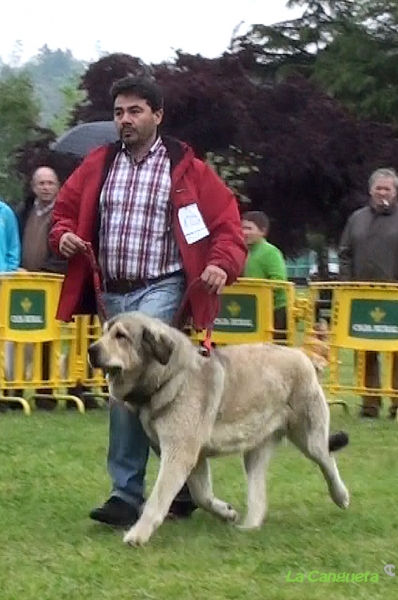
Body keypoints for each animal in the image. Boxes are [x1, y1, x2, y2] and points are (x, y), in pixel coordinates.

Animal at [88, 316, 348, 548]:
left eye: (121, 336)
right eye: (104, 332)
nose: (91, 349)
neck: (171, 376)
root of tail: (301, 355)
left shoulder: (178, 455)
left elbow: (158, 498)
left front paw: (137, 535)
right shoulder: (194, 458)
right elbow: (201, 496)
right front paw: (226, 512)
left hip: (310, 438)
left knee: (328, 459)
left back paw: (341, 496)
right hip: (255, 452)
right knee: (258, 493)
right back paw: (249, 526)